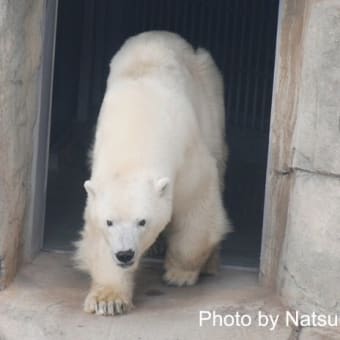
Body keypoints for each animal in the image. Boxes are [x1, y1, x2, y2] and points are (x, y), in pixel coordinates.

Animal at [75, 31, 231, 316]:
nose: (125, 254)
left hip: (210, 92)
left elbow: (197, 205)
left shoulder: (187, 156)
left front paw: (180, 274)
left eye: (142, 221)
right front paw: (108, 300)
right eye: (109, 222)